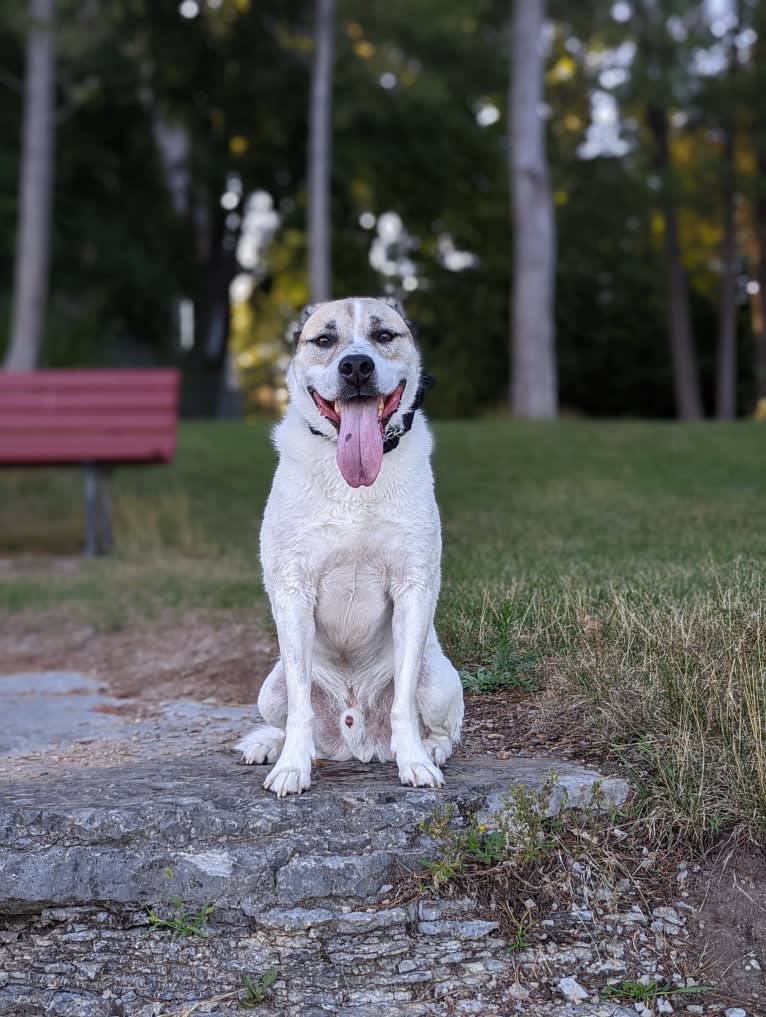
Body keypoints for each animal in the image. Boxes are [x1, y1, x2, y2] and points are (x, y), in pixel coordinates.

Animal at [234, 294, 459, 793]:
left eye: (383, 335)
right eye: (324, 340)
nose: (356, 365)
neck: (353, 484)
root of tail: (354, 741)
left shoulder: (414, 587)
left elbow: (402, 704)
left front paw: (415, 762)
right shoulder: (293, 590)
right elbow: (299, 706)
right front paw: (291, 769)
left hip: (440, 681)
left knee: (446, 728)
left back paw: (431, 748)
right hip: (269, 689)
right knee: (283, 719)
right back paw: (269, 747)